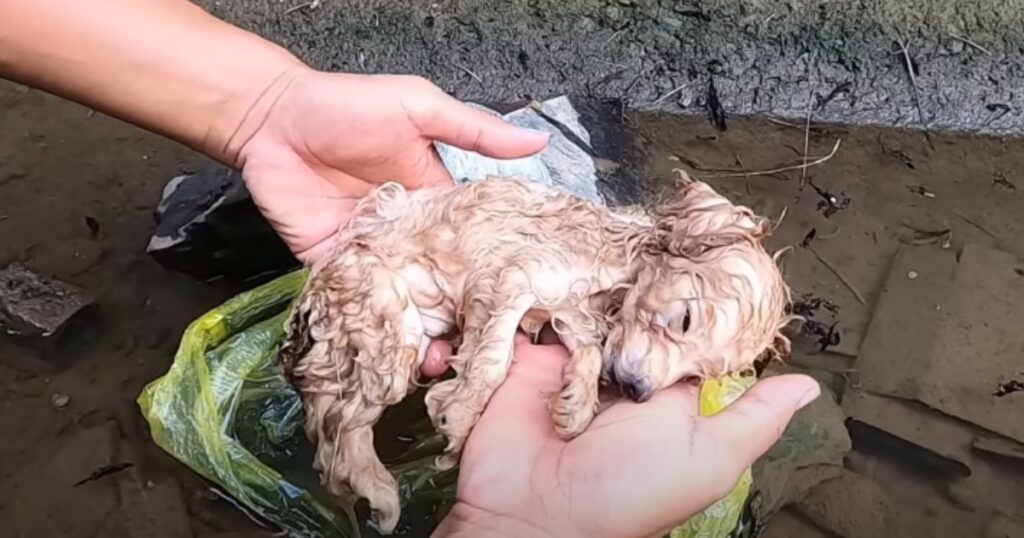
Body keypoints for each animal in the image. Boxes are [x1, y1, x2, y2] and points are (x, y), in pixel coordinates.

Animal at [278, 170, 790, 528]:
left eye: (694, 378)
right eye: (684, 319)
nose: (637, 391)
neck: (618, 270)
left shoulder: (571, 309)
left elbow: (587, 349)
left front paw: (574, 405)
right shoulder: (512, 275)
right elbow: (493, 353)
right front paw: (461, 412)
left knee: (327, 416)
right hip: (385, 317)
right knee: (339, 426)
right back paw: (376, 488)